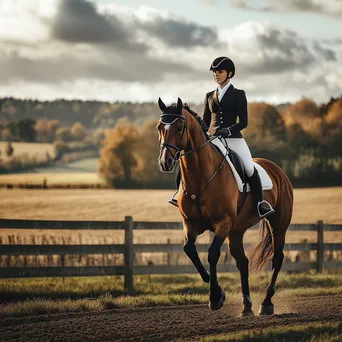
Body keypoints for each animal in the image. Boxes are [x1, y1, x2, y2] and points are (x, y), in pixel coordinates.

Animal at [156, 96, 292, 316]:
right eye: (159, 127)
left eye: (179, 127)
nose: (165, 162)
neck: (201, 176)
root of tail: (277, 169)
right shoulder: (190, 224)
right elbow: (189, 250)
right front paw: (216, 289)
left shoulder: (223, 223)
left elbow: (212, 254)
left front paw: (215, 297)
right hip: (237, 230)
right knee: (242, 261)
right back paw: (247, 306)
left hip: (278, 225)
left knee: (277, 258)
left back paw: (266, 303)